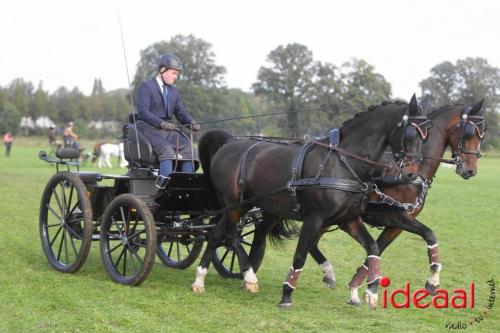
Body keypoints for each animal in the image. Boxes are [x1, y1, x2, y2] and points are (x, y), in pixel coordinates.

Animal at [192, 94, 430, 308]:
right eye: (411, 133)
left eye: (426, 136)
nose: (412, 175)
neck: (343, 163)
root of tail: (229, 143)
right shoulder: (314, 218)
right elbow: (300, 255)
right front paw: (286, 295)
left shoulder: (349, 220)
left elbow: (373, 248)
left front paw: (371, 292)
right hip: (236, 204)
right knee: (231, 234)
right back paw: (249, 277)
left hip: (253, 206)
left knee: (216, 234)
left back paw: (200, 280)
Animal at [302, 100, 486, 304]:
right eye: (469, 132)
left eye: (483, 131)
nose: (470, 170)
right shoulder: (395, 216)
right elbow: (428, 234)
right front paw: (433, 280)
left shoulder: (396, 225)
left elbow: (379, 249)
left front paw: (357, 286)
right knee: (311, 242)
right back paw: (328, 274)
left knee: (312, 243)